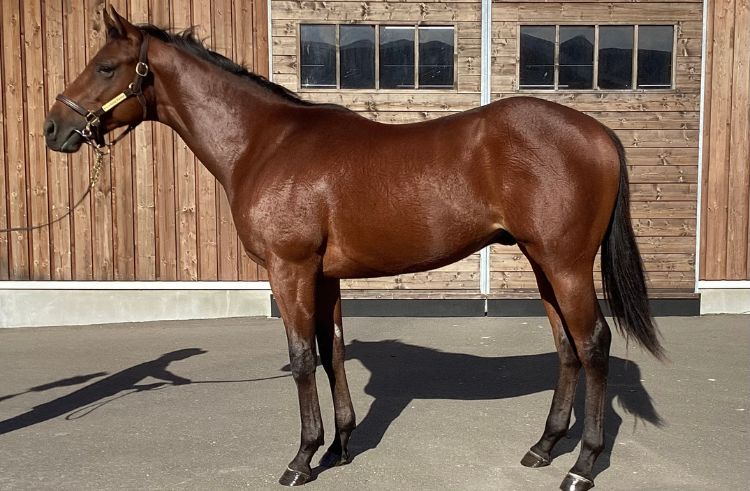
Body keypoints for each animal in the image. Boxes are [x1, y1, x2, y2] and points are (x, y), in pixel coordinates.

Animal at [44, 7, 664, 490]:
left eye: (105, 67)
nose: (53, 129)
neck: (266, 144)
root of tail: (599, 134)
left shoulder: (289, 270)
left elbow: (301, 358)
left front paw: (302, 458)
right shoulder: (324, 275)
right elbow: (331, 351)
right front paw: (340, 447)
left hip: (565, 264)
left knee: (593, 344)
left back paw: (582, 465)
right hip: (543, 264)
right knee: (566, 348)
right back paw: (544, 447)